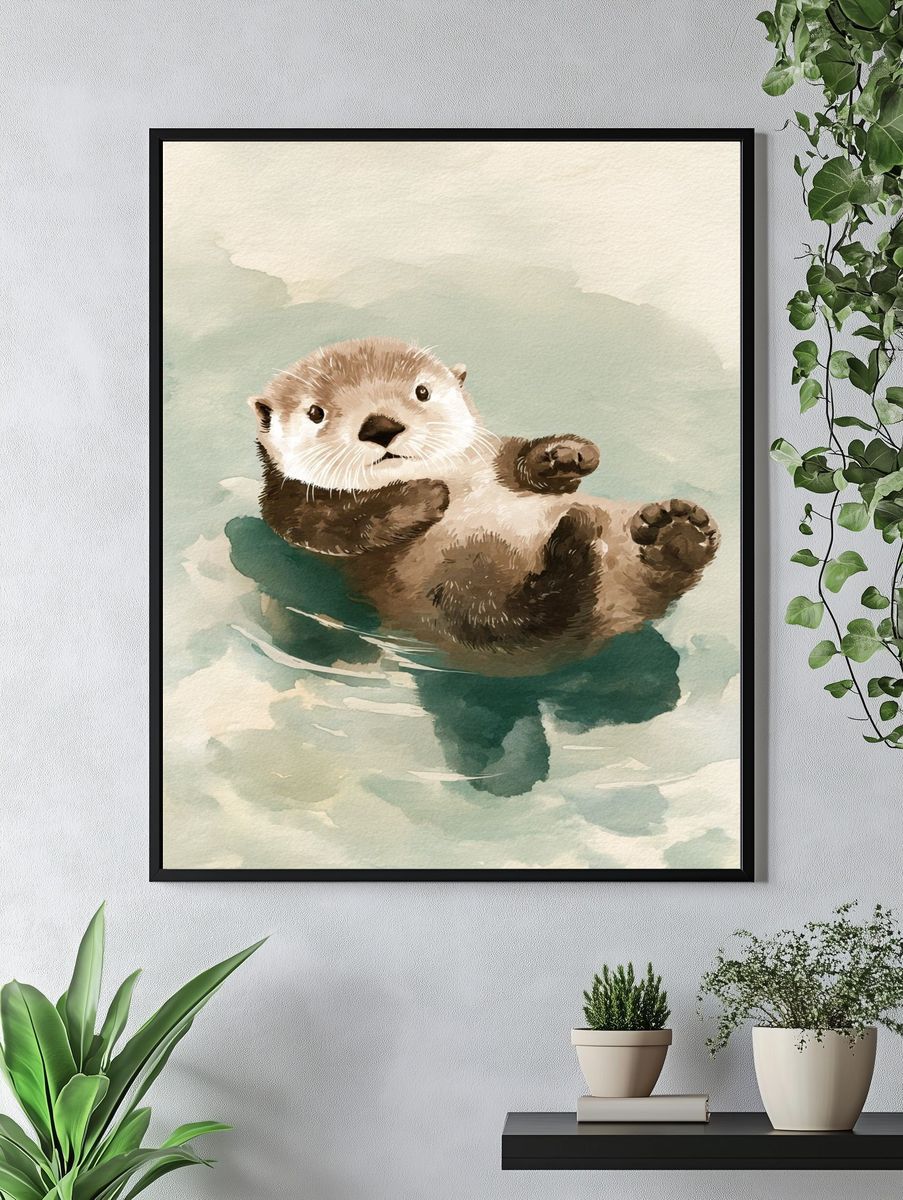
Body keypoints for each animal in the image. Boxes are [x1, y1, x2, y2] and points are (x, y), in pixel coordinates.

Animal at [249, 338, 719, 676]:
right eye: (315, 412)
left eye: (422, 391)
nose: (380, 426)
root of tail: (616, 616)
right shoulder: (291, 509)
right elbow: (339, 523)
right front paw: (427, 495)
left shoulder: (495, 456)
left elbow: (522, 463)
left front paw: (566, 454)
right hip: (454, 595)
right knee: (524, 623)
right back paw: (575, 542)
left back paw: (677, 533)